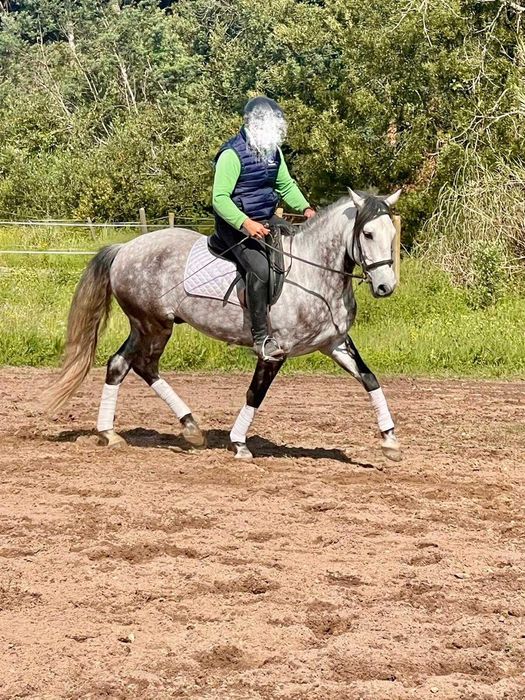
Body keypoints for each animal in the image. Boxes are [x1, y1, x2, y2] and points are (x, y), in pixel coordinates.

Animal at [45, 188, 403, 462]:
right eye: (367, 233)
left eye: (392, 234)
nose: (385, 286)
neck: (314, 274)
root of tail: (124, 249)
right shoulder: (275, 350)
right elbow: (255, 393)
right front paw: (240, 444)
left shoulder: (335, 343)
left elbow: (370, 379)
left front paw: (390, 441)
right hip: (153, 325)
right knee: (142, 365)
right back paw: (176, 428)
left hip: (145, 326)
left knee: (123, 365)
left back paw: (125, 432)